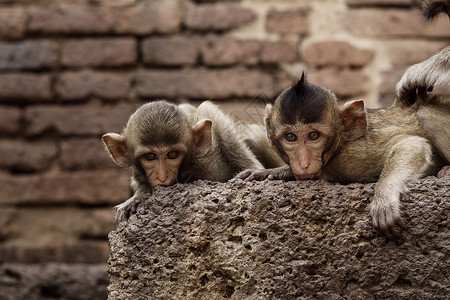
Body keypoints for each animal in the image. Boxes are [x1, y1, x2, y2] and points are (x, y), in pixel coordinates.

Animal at [239, 73, 446, 239]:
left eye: (313, 136)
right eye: (290, 137)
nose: (303, 163)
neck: (337, 148)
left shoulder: (353, 157)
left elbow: (411, 143)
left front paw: (385, 196)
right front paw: (269, 172)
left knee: (426, 114)